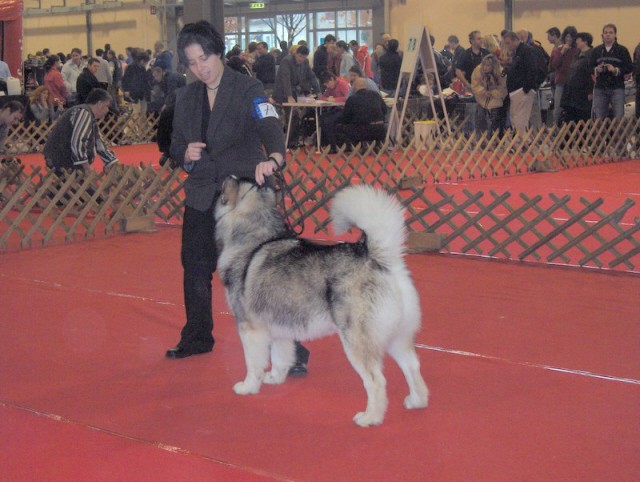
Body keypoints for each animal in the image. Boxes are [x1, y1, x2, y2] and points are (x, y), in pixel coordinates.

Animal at [215, 178, 430, 426]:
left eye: (239, 182)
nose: (227, 177)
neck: (253, 238)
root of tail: (379, 259)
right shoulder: (279, 329)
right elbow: (279, 358)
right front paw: (275, 378)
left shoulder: (250, 329)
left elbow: (253, 363)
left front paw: (248, 387)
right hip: (397, 336)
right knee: (412, 366)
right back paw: (417, 401)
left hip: (356, 340)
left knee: (376, 380)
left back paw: (370, 417)